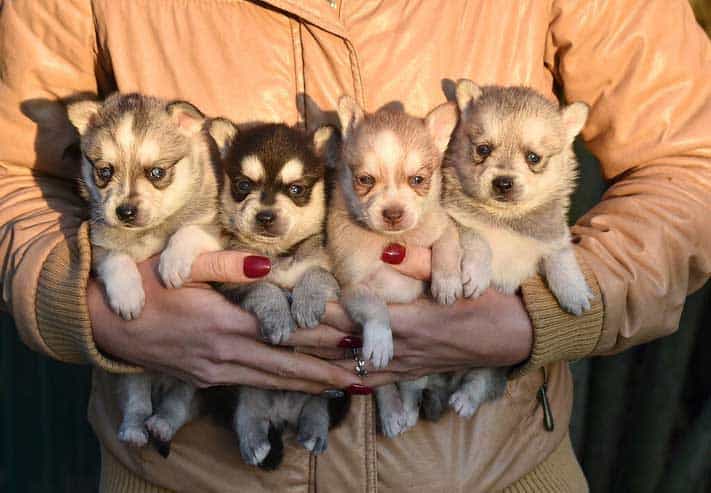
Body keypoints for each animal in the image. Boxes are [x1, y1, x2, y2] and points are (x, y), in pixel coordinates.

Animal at [67, 92, 222, 450]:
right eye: (104, 171)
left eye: (157, 172)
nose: (124, 211)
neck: (148, 232)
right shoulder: (99, 244)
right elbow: (117, 260)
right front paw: (128, 297)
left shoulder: (215, 229)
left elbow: (188, 231)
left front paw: (172, 263)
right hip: (133, 372)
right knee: (137, 402)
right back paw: (135, 430)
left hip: (190, 385)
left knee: (178, 405)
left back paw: (162, 424)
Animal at [330, 98, 462, 436]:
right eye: (365, 180)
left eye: (418, 180)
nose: (392, 212)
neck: (395, 239)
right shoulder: (352, 286)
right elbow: (375, 305)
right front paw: (379, 340)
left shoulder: (443, 225)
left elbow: (447, 242)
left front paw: (447, 282)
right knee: (387, 385)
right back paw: (392, 414)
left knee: (413, 386)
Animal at [442, 80, 592, 416]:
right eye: (483, 149)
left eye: (533, 158)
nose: (503, 182)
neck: (506, 220)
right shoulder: (458, 221)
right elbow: (478, 241)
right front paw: (476, 275)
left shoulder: (553, 237)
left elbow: (561, 260)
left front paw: (574, 293)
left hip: (490, 365)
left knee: (480, 380)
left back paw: (464, 399)